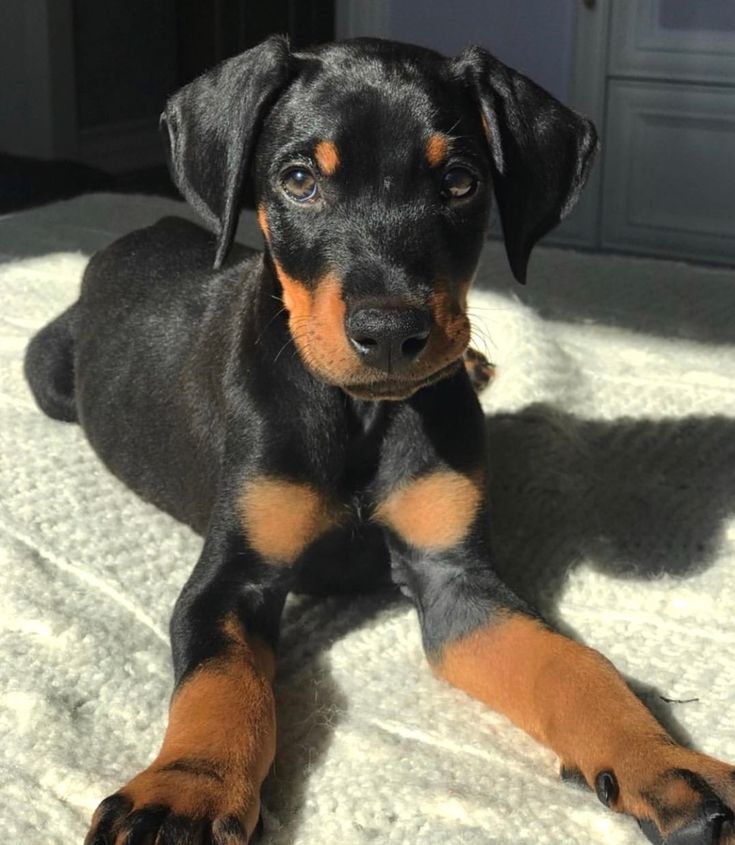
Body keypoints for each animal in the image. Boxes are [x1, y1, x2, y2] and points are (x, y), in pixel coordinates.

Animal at [24, 36, 735, 844]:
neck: (364, 414)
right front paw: (184, 792)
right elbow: (221, 684)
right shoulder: (231, 578)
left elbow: (573, 663)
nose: (391, 333)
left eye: (459, 182)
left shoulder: (456, 579)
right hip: (46, 373)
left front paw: (665, 765)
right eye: (299, 179)